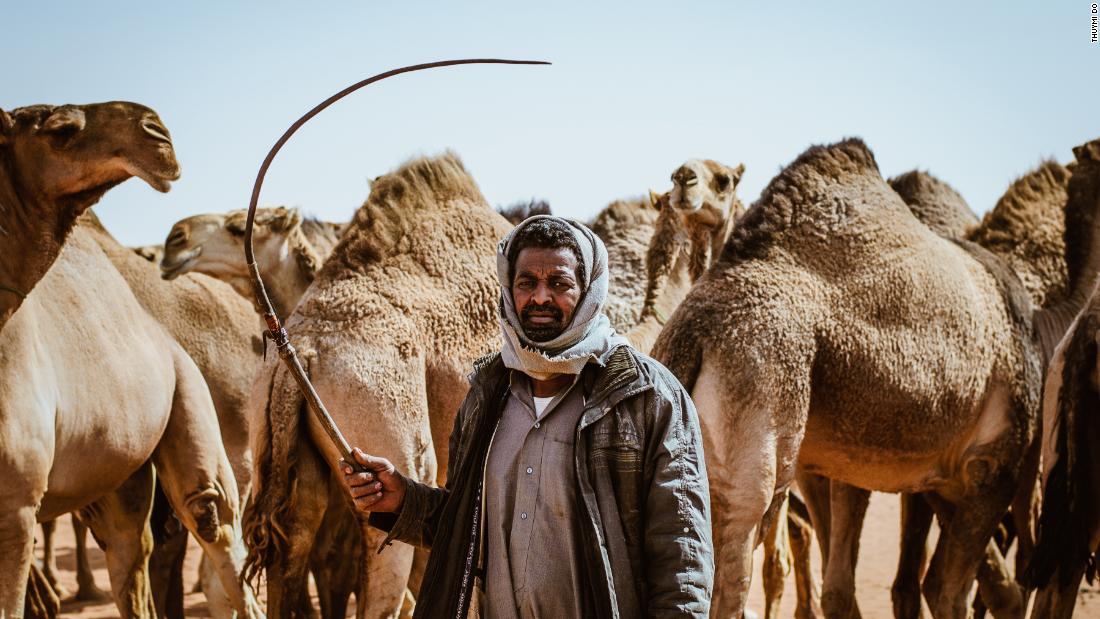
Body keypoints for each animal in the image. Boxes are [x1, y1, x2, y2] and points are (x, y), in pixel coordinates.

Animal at [0, 101, 261, 619]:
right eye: (61, 128)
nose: (157, 132)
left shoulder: (17, 502)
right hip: (116, 475)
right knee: (131, 558)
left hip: (190, 391)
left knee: (213, 523)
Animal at [655, 140, 1042, 619]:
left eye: (725, 180)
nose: (682, 179)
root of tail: (693, 333)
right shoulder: (989, 462)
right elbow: (952, 591)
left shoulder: (864, 462)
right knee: (734, 553)